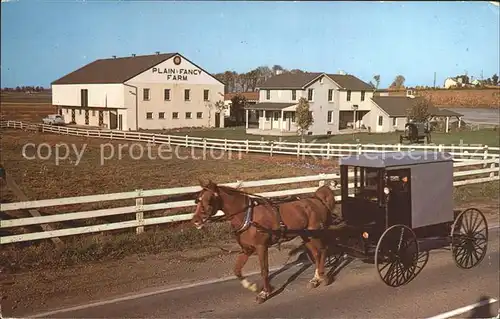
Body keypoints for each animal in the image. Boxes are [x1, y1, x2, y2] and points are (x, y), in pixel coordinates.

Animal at [189, 180, 338, 304]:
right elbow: (237, 270)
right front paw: (252, 286)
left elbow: (264, 270)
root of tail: (317, 200)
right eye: (198, 200)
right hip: (306, 236)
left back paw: (323, 277)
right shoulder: (247, 249)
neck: (248, 217)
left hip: (314, 234)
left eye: (209, 199)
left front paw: (264, 293)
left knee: (323, 251)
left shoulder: (261, 247)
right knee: (316, 254)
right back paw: (315, 279)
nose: (196, 220)